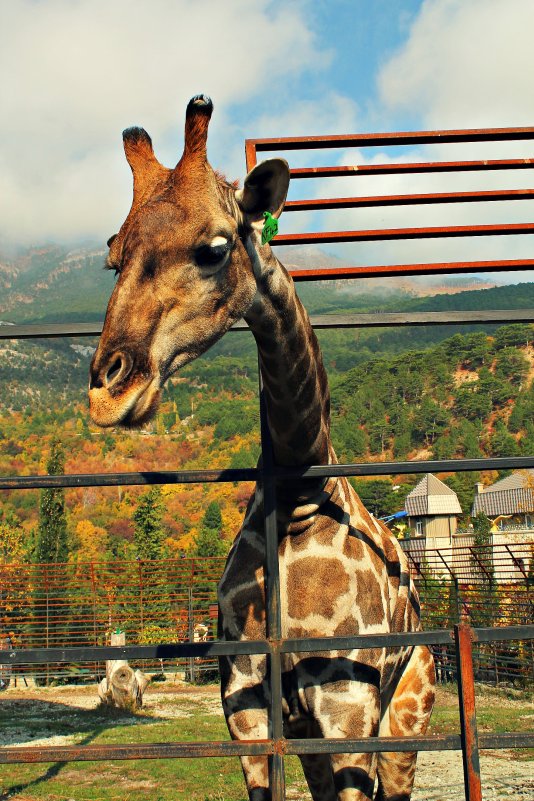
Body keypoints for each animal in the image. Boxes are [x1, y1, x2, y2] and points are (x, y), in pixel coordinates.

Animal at [90, 95, 438, 800]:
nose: (109, 391)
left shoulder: (347, 705)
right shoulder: (248, 705)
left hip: (406, 714)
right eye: (113, 257)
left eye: (214, 248)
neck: (299, 497)